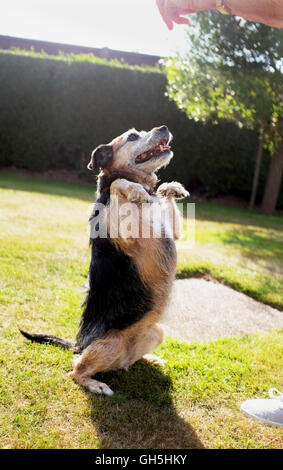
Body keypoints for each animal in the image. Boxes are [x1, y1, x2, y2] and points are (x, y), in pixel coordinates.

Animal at [19, 126, 189, 396]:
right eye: (132, 136)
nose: (164, 128)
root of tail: (79, 344)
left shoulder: (171, 232)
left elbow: (167, 205)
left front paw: (170, 188)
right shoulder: (128, 237)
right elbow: (119, 184)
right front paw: (134, 190)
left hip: (157, 333)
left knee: (126, 362)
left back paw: (149, 359)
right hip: (110, 344)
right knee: (75, 370)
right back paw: (96, 384)